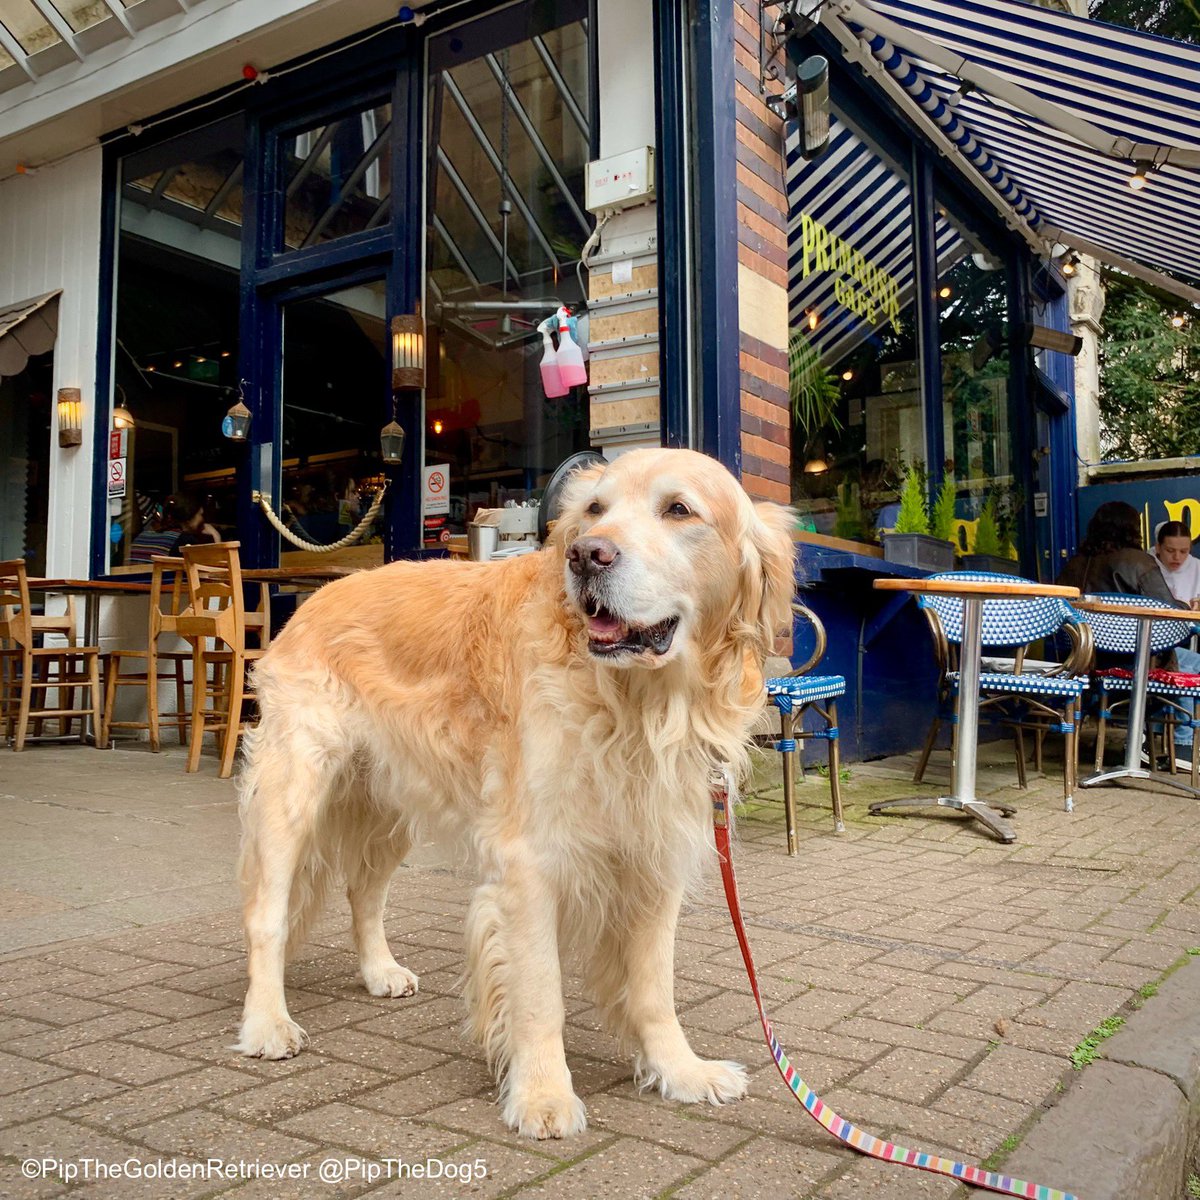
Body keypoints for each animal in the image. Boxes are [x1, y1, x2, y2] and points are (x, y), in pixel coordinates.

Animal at [234, 448, 796, 1132]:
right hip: (294, 789)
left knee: (364, 891)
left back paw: (379, 971)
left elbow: (653, 987)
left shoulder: (656, 853)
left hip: (388, 804)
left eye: (679, 509)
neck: (639, 705)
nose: (586, 555)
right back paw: (267, 1022)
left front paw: (680, 1070)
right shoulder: (531, 861)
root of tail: (318, 595)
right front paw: (543, 1095)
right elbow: (540, 995)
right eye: (594, 510)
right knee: (267, 914)